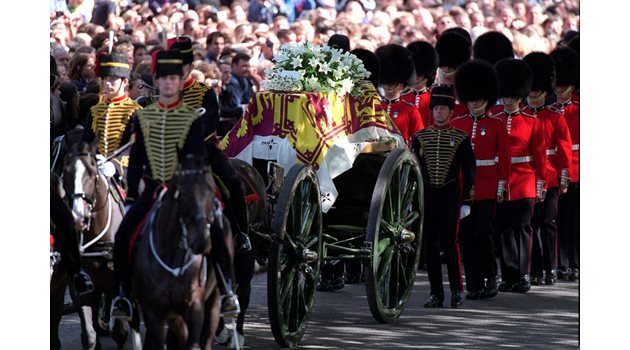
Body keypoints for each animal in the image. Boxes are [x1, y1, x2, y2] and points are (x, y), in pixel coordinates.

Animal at [61, 137, 141, 350]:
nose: (77, 216)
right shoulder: (79, 290)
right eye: (65, 172)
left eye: (92, 172)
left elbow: (120, 332)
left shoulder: (117, 285)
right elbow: (88, 336)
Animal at [132, 154, 231, 348]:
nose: (202, 241)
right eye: (184, 194)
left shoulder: (195, 306)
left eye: (211, 193)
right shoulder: (152, 312)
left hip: (214, 299)